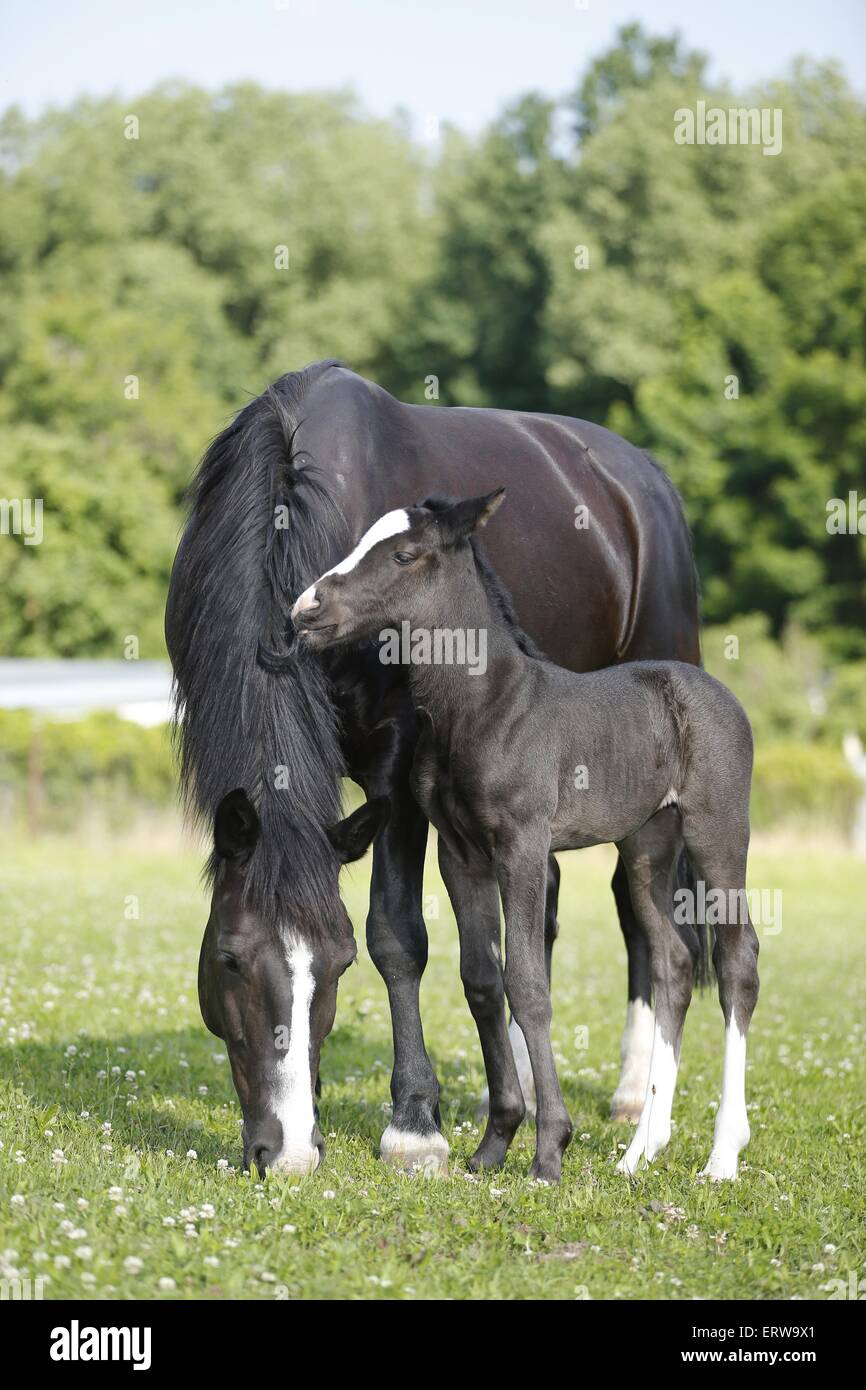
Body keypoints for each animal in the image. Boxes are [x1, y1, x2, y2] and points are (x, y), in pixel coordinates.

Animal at [166, 358, 700, 1173]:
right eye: (228, 959)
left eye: (339, 963)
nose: (286, 1152)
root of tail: (646, 483)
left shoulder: (397, 769)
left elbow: (398, 936)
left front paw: (414, 1122)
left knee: (642, 910)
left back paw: (635, 1091)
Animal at [291, 494, 756, 1178]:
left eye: (403, 555)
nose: (306, 609)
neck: (487, 708)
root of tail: (717, 691)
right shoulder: (462, 856)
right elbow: (483, 982)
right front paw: (494, 1144)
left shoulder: (523, 848)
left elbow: (529, 986)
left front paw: (548, 1151)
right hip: (647, 847)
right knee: (674, 960)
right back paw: (640, 1151)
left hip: (717, 835)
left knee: (735, 963)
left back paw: (722, 1153)